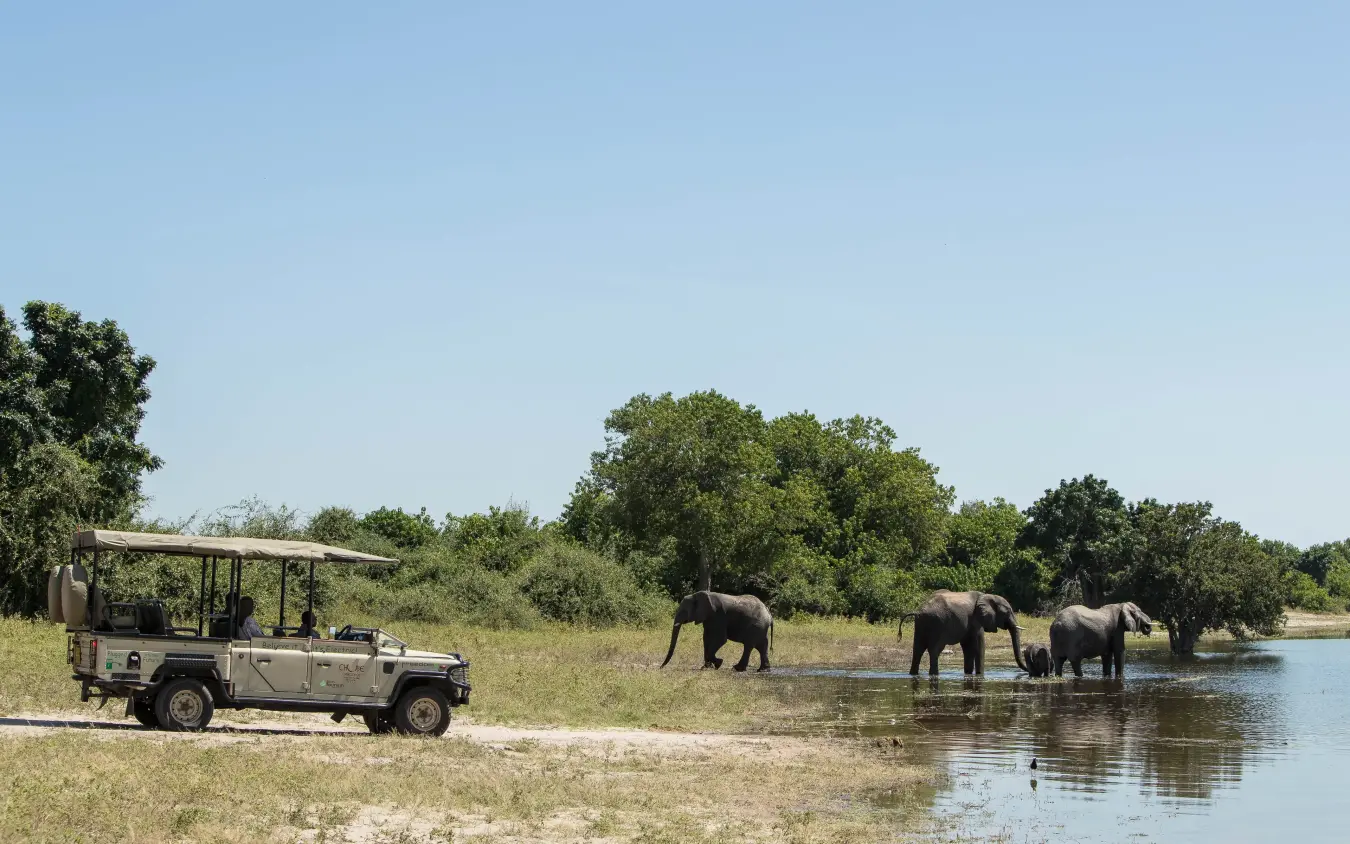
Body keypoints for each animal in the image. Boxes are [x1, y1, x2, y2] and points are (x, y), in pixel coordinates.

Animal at [898, 590, 1029, 676]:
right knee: (934, 650)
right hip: (938, 624)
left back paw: (913, 674)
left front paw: (968, 674)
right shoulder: (976, 620)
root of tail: (918, 612)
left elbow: (968, 648)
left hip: (921, 625)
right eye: (1008, 611)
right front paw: (980, 675)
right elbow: (979, 646)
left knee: (917, 650)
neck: (986, 595)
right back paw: (935, 675)